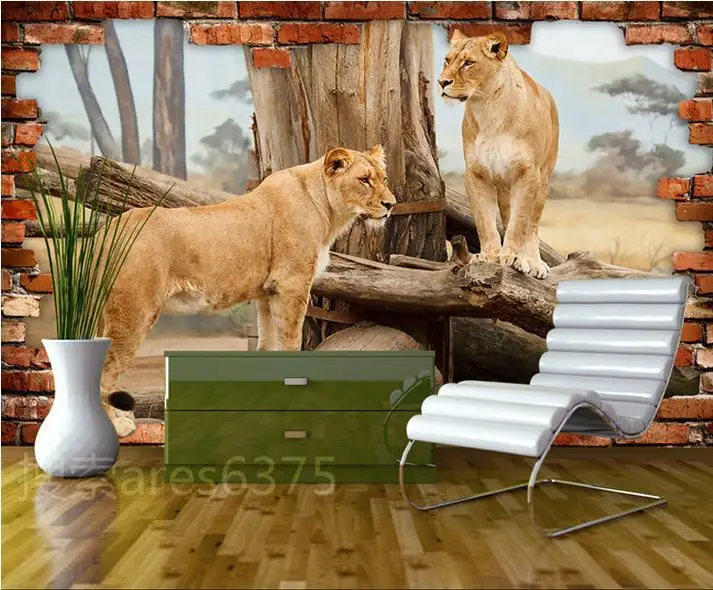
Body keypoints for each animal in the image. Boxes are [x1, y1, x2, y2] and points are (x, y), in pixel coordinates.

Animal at [99, 145, 396, 437]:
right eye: (364, 179)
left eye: (384, 178)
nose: (391, 204)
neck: (327, 209)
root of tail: (107, 229)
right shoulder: (291, 284)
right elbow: (291, 342)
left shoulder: (267, 292)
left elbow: (267, 345)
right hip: (134, 313)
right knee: (105, 369)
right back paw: (118, 425)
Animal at [438, 30, 559, 279]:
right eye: (447, 60)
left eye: (468, 63)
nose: (442, 82)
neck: (487, 106)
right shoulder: (476, 174)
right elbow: (484, 221)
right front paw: (489, 255)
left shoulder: (527, 173)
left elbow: (520, 223)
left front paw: (514, 257)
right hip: (504, 187)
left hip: (543, 180)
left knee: (532, 226)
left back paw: (535, 262)